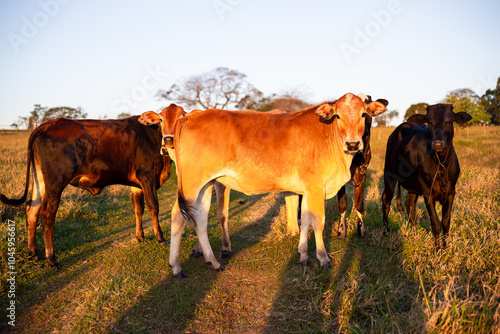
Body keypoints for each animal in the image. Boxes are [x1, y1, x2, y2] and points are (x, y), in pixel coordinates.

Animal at [0, 116, 172, 268]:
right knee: (47, 214)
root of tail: (48, 124)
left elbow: (138, 209)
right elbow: (153, 207)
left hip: (40, 181)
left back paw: (33, 253)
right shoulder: (147, 176)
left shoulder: (136, 184)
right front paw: (161, 238)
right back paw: (51, 259)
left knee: (32, 209)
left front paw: (140, 237)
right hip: (55, 183)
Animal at [168, 92, 386, 278]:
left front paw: (303, 255)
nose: (353, 144)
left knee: (200, 219)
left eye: (363, 114)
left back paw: (212, 262)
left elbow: (305, 219)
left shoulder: (307, 189)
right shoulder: (316, 187)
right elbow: (318, 222)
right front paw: (323, 258)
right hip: (191, 184)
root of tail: (192, 116)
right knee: (178, 216)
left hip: (206, 185)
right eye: (338, 116)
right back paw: (176, 267)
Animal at [380, 103, 470, 248]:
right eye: (429, 122)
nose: (438, 144)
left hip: (413, 185)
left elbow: (446, 222)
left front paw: (446, 246)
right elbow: (435, 223)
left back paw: (414, 232)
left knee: (409, 204)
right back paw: (384, 232)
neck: (441, 163)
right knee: (386, 201)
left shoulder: (451, 192)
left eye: (449, 121)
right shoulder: (428, 192)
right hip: (389, 174)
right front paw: (438, 249)